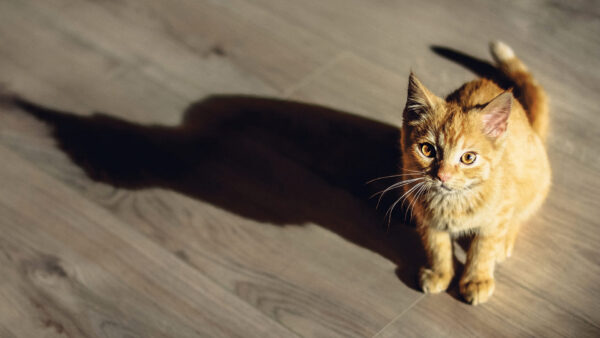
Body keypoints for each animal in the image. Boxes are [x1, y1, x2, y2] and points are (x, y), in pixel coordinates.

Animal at [396, 41, 552, 304]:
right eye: (427, 150)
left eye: (468, 158)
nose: (443, 176)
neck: (453, 202)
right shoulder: (428, 220)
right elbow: (436, 246)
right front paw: (440, 273)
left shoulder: (499, 212)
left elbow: (483, 247)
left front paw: (476, 279)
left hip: (536, 180)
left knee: (520, 214)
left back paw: (504, 242)